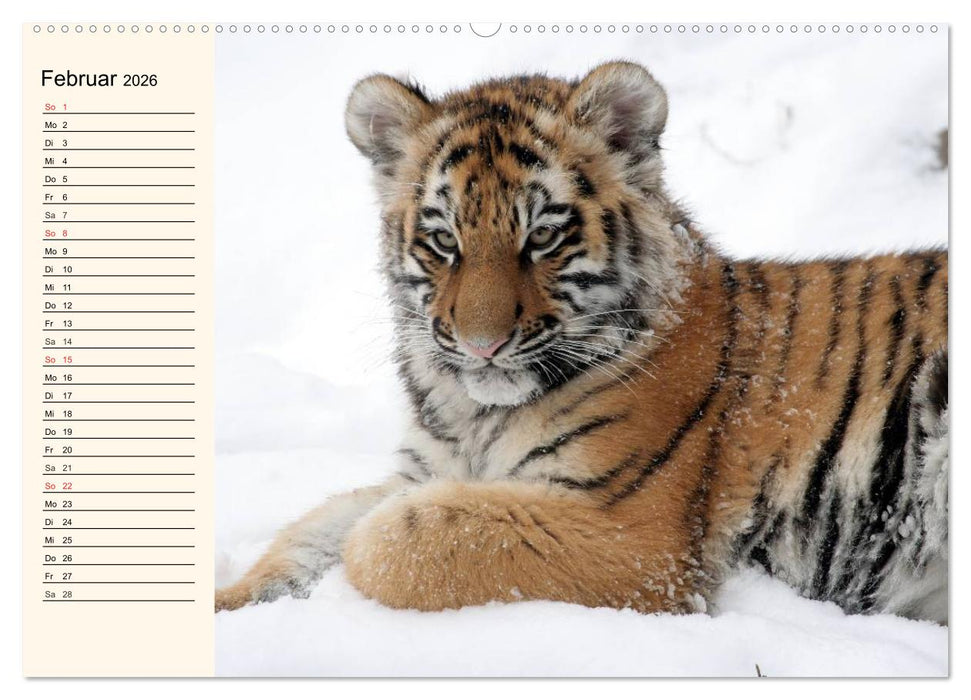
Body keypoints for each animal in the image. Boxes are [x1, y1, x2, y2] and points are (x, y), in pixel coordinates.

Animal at [215, 61, 949, 624]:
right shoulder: (425, 470)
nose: (481, 345)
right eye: (443, 240)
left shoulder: (632, 539)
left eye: (542, 235)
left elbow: (396, 538)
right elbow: (309, 534)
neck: (473, 415)